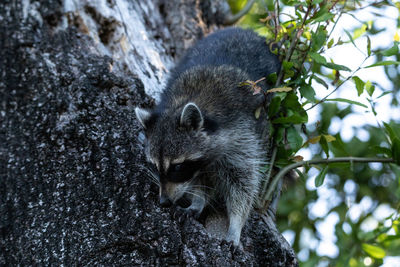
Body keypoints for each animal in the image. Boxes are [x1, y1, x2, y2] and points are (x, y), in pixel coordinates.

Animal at [136, 27, 280, 247]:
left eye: (177, 167)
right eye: (154, 165)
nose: (164, 202)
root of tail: (244, 30)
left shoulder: (243, 135)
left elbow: (244, 182)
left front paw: (236, 224)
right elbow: (200, 180)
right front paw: (198, 200)